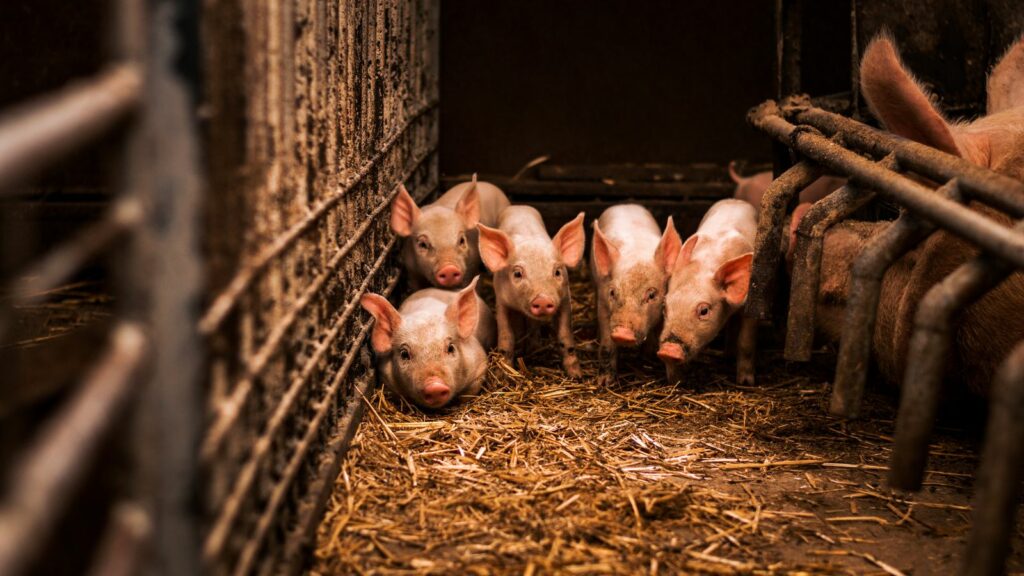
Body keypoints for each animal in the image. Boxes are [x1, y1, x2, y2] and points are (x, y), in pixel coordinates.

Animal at [477, 207, 586, 377]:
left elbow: (565, 334)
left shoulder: (565, 299)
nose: (542, 300)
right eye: (517, 274)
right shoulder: (501, 301)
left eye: (557, 272)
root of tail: (519, 206)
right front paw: (502, 374)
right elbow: (507, 336)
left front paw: (576, 375)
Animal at [590, 204, 681, 383]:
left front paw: (647, 358)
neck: (637, 251)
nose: (622, 333)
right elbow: (607, 345)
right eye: (613, 292)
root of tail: (625, 204)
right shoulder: (603, 302)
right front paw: (604, 382)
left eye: (652, 295)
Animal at [658, 199, 758, 386]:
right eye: (665, 307)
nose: (668, 349)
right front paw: (675, 380)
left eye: (704, 310)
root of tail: (736, 200)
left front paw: (745, 382)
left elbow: (746, 342)